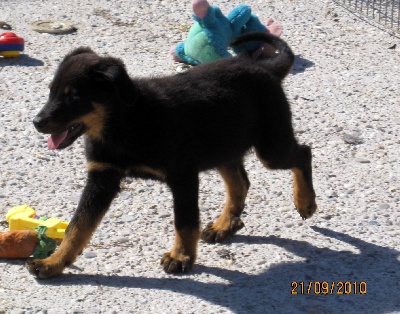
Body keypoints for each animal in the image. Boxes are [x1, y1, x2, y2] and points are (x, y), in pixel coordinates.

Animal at [28, 32, 318, 278]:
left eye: (74, 96)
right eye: (51, 91)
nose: (37, 122)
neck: (123, 123)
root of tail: (266, 69)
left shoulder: (182, 176)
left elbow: (184, 221)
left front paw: (181, 257)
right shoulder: (102, 177)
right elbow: (77, 226)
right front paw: (54, 262)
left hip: (270, 147)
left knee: (303, 154)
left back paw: (305, 202)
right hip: (223, 146)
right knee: (241, 183)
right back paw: (224, 225)